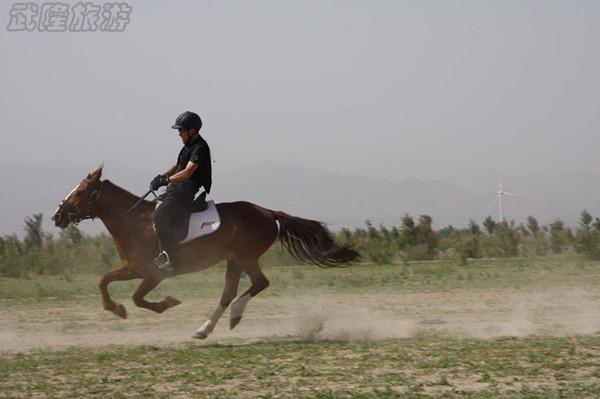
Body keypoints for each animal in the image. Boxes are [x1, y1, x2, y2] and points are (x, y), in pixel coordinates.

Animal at [51, 166, 358, 340]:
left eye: (80, 192)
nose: (57, 216)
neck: (135, 222)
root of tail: (268, 213)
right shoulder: (133, 268)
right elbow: (103, 280)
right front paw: (115, 309)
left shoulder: (153, 273)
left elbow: (137, 298)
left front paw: (166, 303)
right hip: (234, 260)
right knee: (229, 292)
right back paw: (204, 329)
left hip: (246, 256)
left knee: (259, 283)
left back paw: (234, 316)